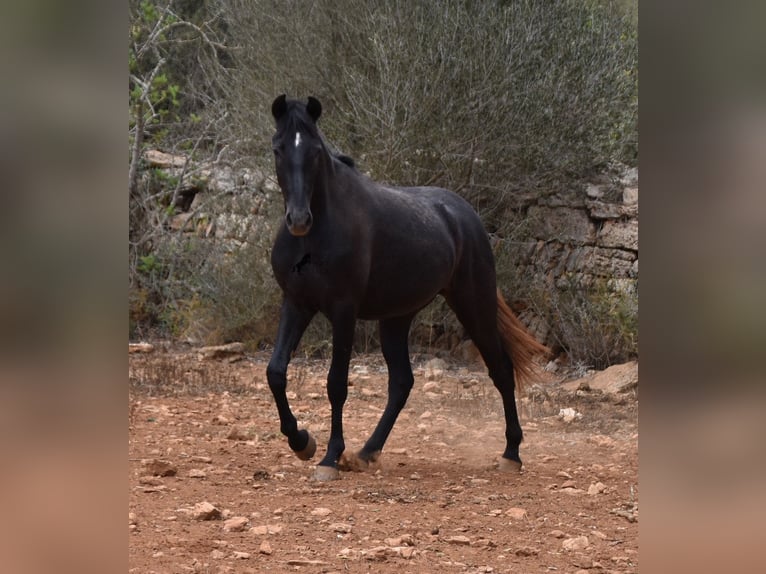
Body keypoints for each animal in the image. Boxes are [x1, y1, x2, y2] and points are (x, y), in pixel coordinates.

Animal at [268, 94, 548, 482]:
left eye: (314, 151)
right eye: (278, 149)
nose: (298, 219)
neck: (316, 236)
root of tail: (463, 214)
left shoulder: (343, 310)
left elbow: (336, 384)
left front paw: (329, 457)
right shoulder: (296, 303)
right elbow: (276, 372)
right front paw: (302, 442)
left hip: (473, 304)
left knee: (502, 370)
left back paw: (511, 454)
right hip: (396, 318)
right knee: (402, 382)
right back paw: (367, 452)